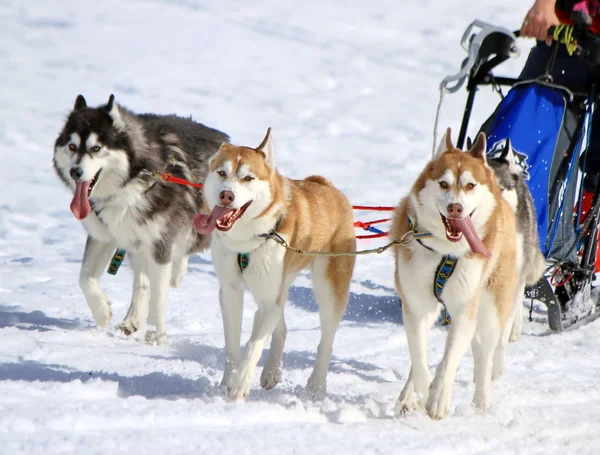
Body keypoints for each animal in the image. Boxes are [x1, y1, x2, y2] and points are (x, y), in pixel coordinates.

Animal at [54, 96, 229, 346]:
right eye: (71, 146)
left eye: (96, 148)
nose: (75, 172)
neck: (131, 182)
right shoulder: (103, 236)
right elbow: (85, 278)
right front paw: (102, 311)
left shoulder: (160, 243)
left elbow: (159, 295)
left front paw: (156, 337)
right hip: (135, 242)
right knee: (142, 281)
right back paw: (132, 318)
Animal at [195, 127, 356, 400]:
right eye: (221, 173)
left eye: (248, 178)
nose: (226, 195)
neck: (247, 241)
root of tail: (329, 188)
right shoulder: (231, 292)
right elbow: (233, 345)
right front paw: (227, 381)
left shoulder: (270, 297)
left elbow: (253, 344)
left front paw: (239, 384)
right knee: (280, 328)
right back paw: (272, 371)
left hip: (329, 289)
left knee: (325, 341)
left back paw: (316, 384)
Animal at [390, 129, 520, 420]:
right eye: (443, 184)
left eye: (470, 185)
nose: (455, 208)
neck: (444, 252)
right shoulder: (415, 306)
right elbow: (419, 358)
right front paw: (420, 391)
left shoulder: (464, 309)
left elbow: (450, 359)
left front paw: (439, 398)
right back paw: (408, 394)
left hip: (491, 307)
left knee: (485, 354)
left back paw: (481, 402)